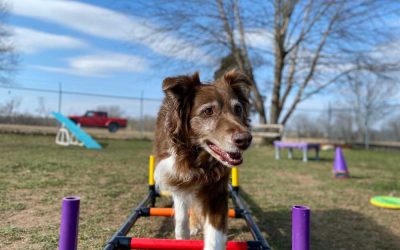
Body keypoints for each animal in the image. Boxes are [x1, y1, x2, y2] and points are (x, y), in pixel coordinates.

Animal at [154, 69, 252, 249]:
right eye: (208, 111)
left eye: (238, 109)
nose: (245, 140)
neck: (197, 156)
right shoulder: (178, 177)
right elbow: (181, 217)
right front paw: (183, 236)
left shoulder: (216, 189)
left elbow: (215, 236)